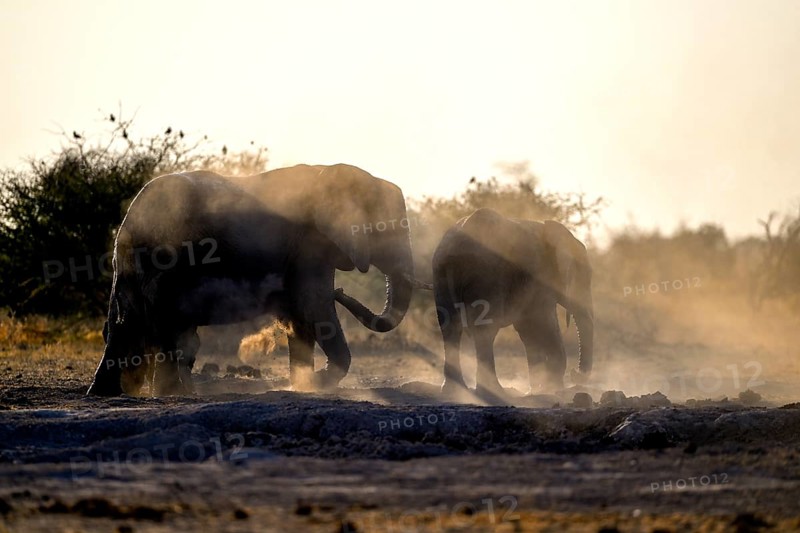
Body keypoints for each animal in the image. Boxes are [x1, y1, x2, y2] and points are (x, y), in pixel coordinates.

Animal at [87, 163, 419, 396]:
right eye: (384, 229)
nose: (342, 291)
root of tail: (132, 217)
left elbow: (301, 314)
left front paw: (305, 385)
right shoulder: (310, 243)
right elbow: (312, 305)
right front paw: (319, 381)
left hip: (132, 264)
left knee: (125, 323)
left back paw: (110, 394)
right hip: (167, 259)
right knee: (164, 325)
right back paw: (173, 394)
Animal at [432, 207, 594, 397]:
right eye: (585, 277)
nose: (575, 374)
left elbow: (527, 328)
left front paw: (540, 388)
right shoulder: (541, 278)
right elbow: (545, 322)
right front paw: (554, 388)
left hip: (441, 274)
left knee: (450, 327)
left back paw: (454, 391)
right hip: (486, 276)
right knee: (485, 329)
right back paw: (493, 390)